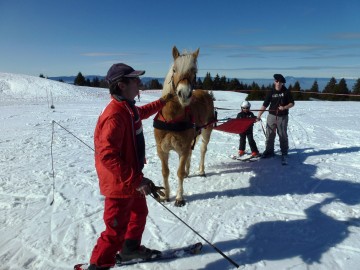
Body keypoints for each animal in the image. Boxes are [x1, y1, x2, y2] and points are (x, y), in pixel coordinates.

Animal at [153, 46, 215, 207]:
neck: (171, 119)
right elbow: (165, 172)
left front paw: (179, 198)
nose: (184, 94)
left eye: (194, 72)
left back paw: (201, 170)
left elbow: (179, 172)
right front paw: (166, 195)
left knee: (202, 149)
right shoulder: (162, 150)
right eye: (174, 70)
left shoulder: (183, 148)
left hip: (206, 131)